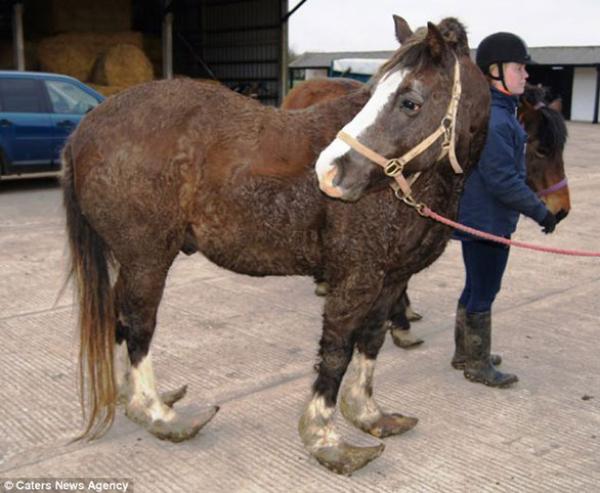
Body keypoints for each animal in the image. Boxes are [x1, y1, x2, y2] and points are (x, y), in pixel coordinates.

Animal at [62, 17, 492, 474]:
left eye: (409, 101)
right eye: (376, 92)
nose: (329, 172)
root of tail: (84, 131)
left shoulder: (392, 278)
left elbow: (371, 340)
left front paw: (368, 414)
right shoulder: (354, 279)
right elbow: (337, 351)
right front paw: (325, 439)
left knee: (120, 320)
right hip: (147, 260)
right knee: (139, 326)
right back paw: (157, 413)